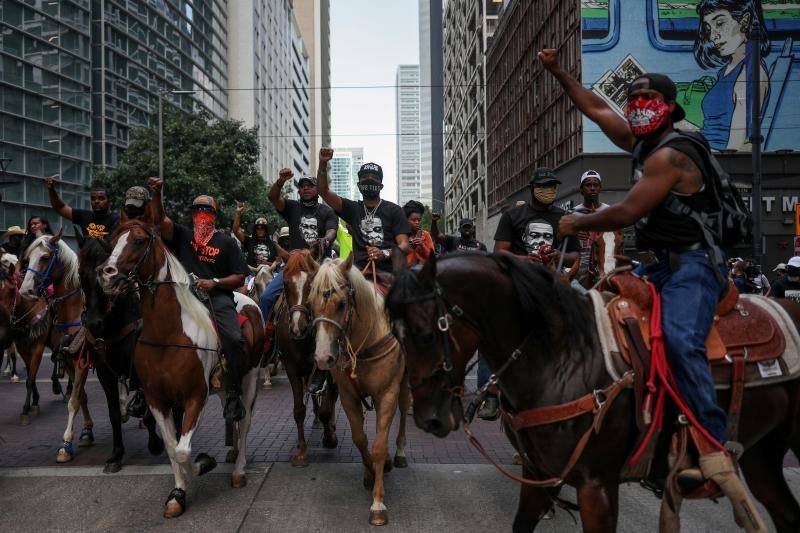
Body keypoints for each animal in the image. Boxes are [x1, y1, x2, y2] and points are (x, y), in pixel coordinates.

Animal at [68, 235, 166, 472]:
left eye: (105, 275)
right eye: (81, 274)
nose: (93, 323)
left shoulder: (141, 369)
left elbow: (149, 409)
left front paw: (155, 443)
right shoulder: (105, 372)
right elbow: (113, 413)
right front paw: (116, 455)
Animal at [101, 219, 264, 516]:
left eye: (138, 240)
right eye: (112, 241)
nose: (107, 274)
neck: (169, 333)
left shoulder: (195, 396)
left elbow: (183, 450)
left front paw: (204, 463)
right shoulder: (156, 399)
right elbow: (171, 447)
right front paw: (178, 493)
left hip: (250, 376)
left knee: (245, 421)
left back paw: (238, 470)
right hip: (224, 385)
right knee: (232, 414)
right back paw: (233, 452)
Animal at [276, 249, 338, 466]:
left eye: (311, 283)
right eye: (285, 283)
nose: (298, 327)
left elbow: (328, 404)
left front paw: (330, 438)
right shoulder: (292, 367)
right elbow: (299, 410)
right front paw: (301, 451)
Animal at [308, 256, 412, 524]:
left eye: (342, 303)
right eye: (311, 304)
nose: (323, 358)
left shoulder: (387, 393)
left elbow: (378, 445)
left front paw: (378, 503)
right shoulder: (348, 397)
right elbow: (361, 439)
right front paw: (369, 474)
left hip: (403, 385)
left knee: (403, 413)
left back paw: (399, 453)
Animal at [390, 252, 800, 532]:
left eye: (427, 335)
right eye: (396, 334)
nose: (429, 419)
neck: (562, 356)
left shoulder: (597, 486)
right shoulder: (538, 475)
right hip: (762, 456)